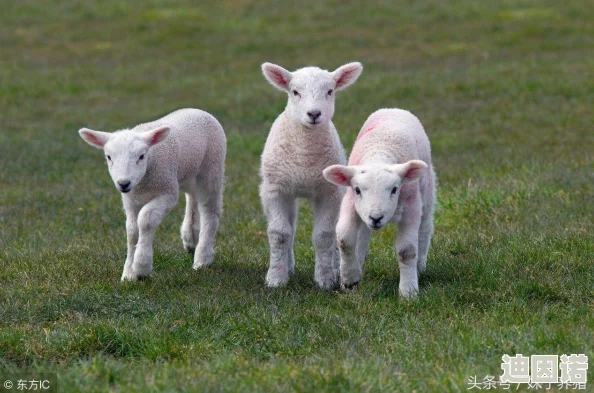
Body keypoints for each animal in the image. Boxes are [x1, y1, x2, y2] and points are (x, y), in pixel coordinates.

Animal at [77, 107, 225, 278]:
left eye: (141, 156)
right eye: (108, 157)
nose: (123, 183)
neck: (142, 184)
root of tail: (196, 110)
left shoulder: (167, 192)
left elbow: (145, 220)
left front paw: (141, 266)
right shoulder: (129, 199)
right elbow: (132, 230)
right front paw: (128, 273)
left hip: (211, 168)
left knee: (210, 211)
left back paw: (202, 259)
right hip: (188, 173)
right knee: (193, 198)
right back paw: (190, 239)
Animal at [260, 61, 364, 288]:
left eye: (330, 91)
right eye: (295, 92)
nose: (314, 114)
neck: (304, 159)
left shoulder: (329, 192)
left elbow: (324, 235)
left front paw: (324, 279)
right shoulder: (274, 189)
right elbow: (279, 233)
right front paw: (276, 278)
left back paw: (334, 267)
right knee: (290, 227)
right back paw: (288, 266)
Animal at [324, 107, 434, 298]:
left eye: (394, 189)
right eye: (358, 190)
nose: (376, 218)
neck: (379, 153)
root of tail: (394, 109)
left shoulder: (411, 207)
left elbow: (406, 251)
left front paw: (408, 292)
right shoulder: (350, 203)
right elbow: (345, 239)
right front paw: (349, 279)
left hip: (426, 191)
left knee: (425, 227)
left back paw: (420, 266)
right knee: (362, 236)